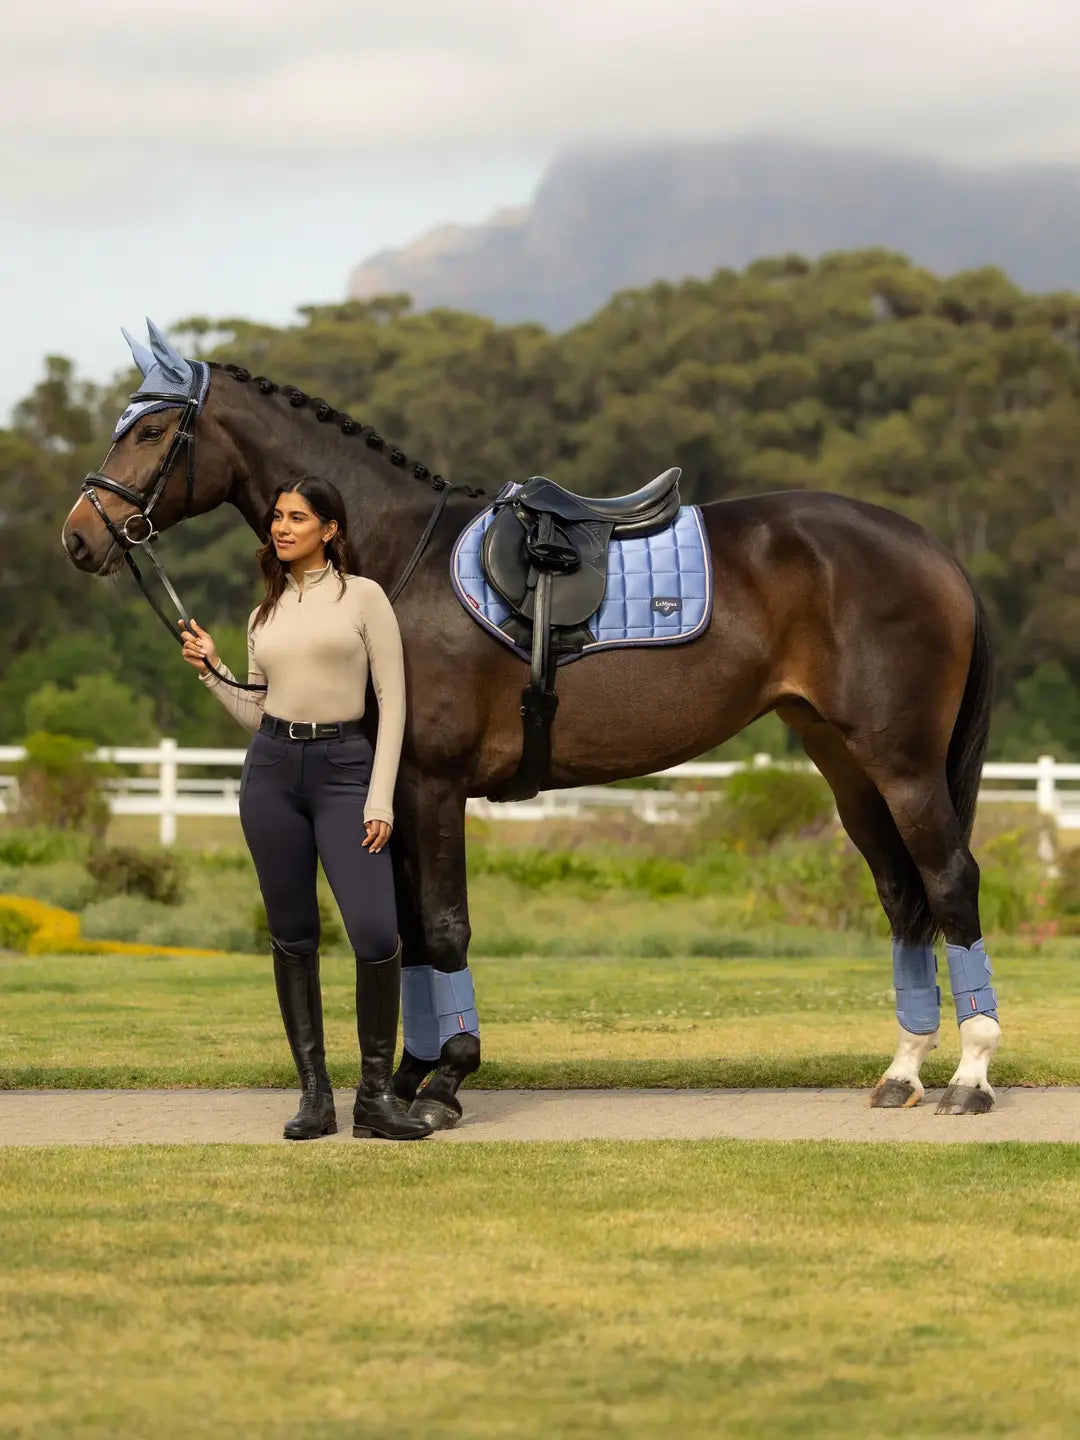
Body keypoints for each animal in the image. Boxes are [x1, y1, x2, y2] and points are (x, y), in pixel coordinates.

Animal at [62, 322, 1000, 1128]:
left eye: (151, 431)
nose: (79, 537)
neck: (396, 558)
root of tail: (935, 553)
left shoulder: (431, 785)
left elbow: (442, 928)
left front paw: (447, 1078)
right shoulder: (394, 792)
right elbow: (410, 933)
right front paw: (414, 1072)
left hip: (903, 764)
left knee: (950, 881)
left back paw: (970, 1075)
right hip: (844, 763)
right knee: (903, 895)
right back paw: (903, 1071)